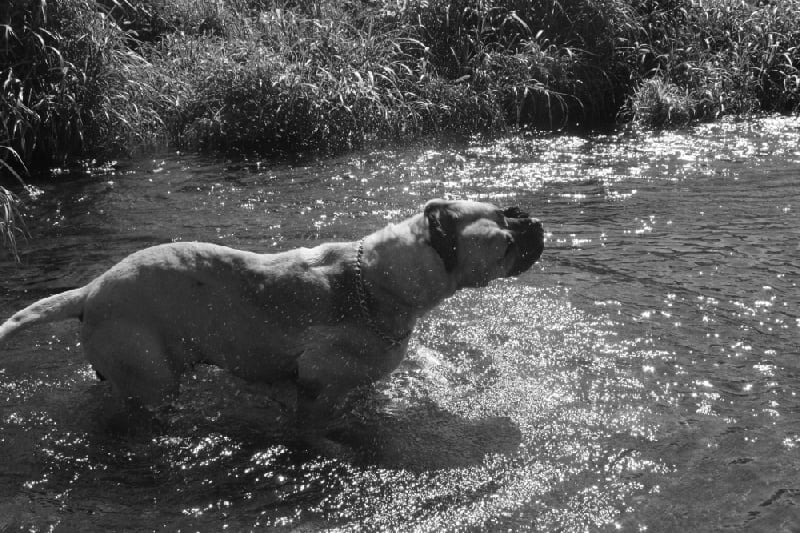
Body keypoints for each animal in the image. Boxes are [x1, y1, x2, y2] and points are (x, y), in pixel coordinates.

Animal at [0, 200, 544, 440]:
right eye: (502, 245)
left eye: (510, 209)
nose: (533, 221)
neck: (378, 278)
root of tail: (90, 290)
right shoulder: (318, 388)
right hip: (150, 377)